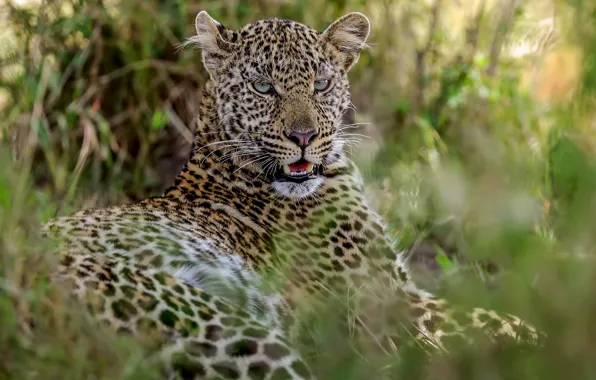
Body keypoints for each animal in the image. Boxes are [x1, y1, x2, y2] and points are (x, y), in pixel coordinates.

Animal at [43, 11, 540, 380]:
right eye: (263, 87)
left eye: (321, 84)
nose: (304, 137)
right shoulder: (391, 303)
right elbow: (508, 323)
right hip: (226, 327)